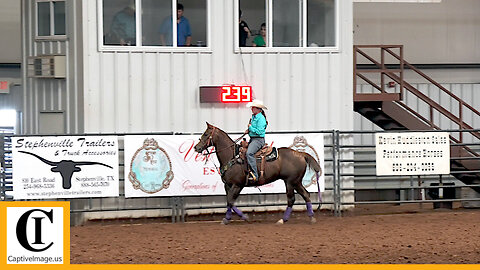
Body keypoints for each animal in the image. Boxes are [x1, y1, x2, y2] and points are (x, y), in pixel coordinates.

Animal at [194, 122, 322, 224]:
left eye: (206, 134)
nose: (196, 147)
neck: (232, 156)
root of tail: (300, 154)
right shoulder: (228, 185)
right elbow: (229, 202)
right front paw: (228, 218)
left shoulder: (237, 185)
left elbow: (230, 201)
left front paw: (244, 217)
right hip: (296, 182)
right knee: (305, 195)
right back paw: (311, 217)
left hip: (290, 181)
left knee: (291, 199)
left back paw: (283, 219)